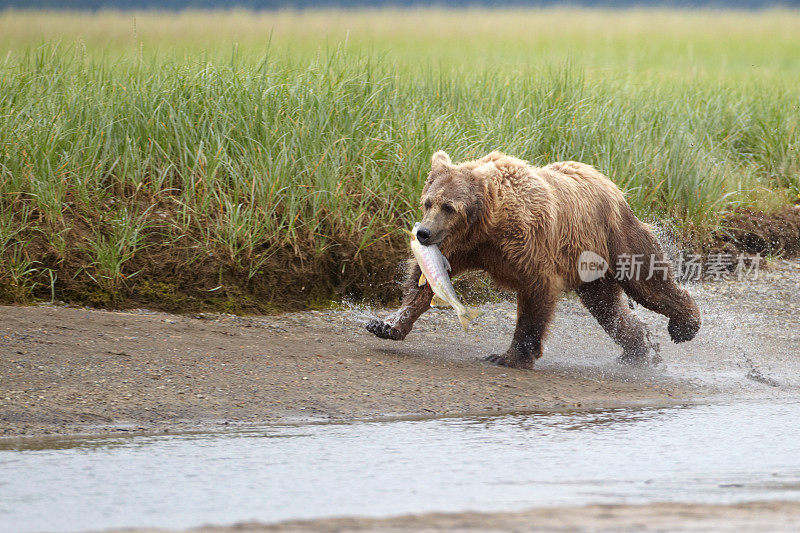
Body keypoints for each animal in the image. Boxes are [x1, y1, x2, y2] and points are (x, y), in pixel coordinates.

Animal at [368, 150, 700, 366]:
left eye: (449, 206)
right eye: (428, 202)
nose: (423, 233)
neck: (487, 227)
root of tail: (610, 184)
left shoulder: (529, 244)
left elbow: (535, 292)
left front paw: (509, 355)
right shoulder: (462, 247)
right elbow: (423, 282)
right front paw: (386, 325)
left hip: (615, 236)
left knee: (648, 283)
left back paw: (684, 326)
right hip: (590, 266)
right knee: (607, 308)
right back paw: (639, 350)